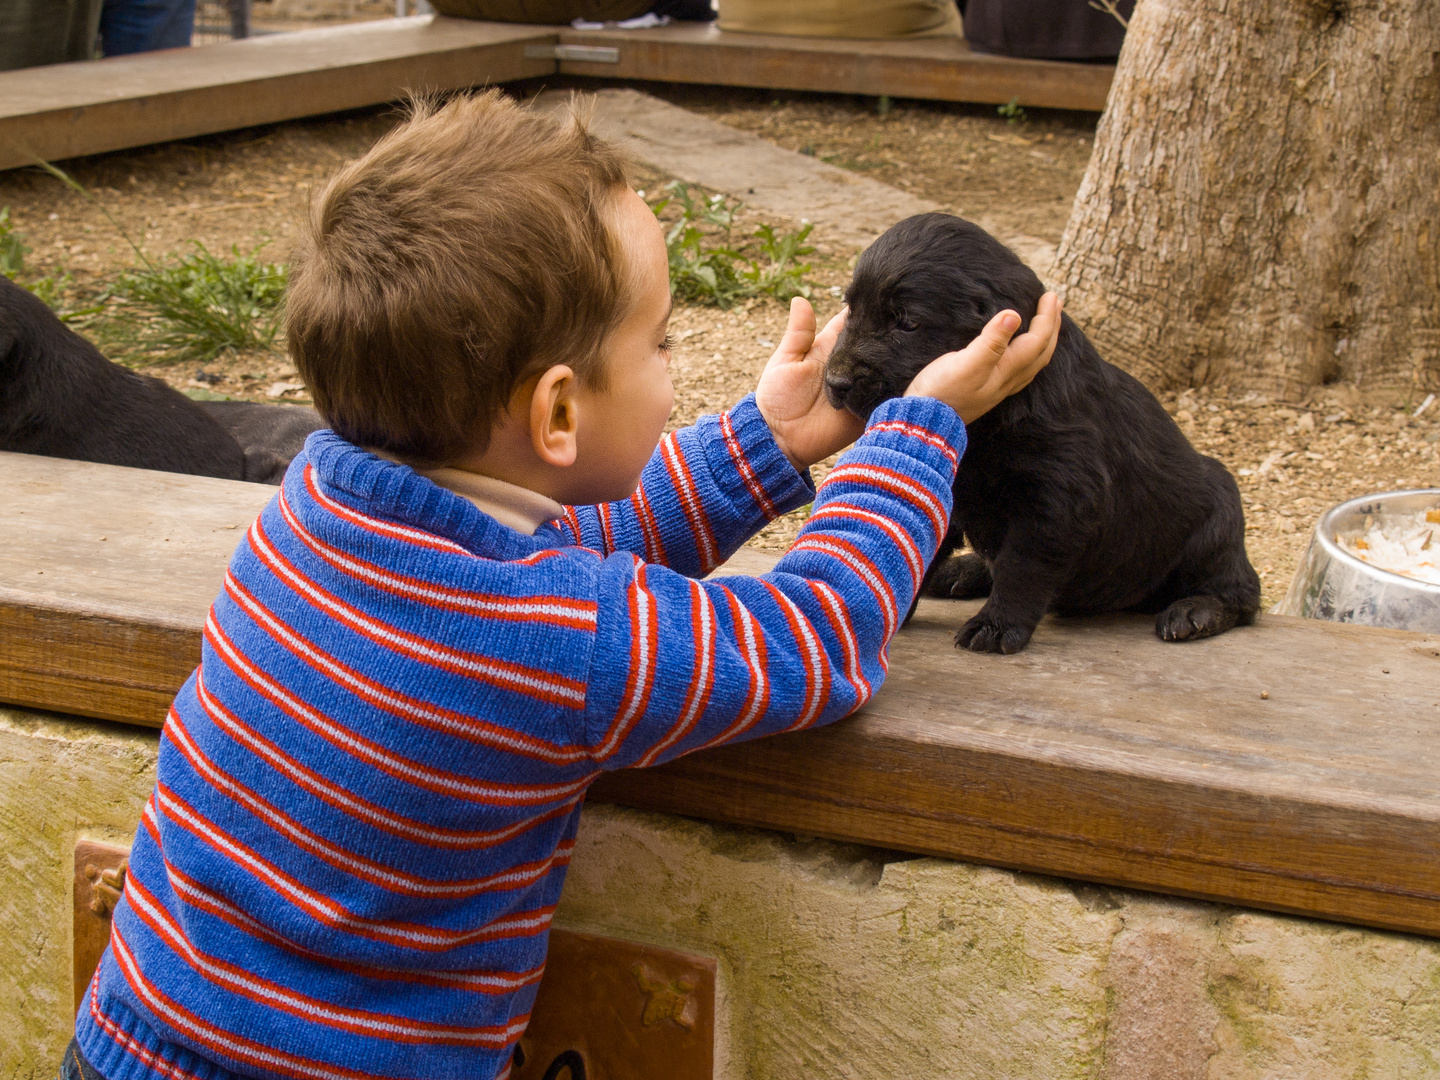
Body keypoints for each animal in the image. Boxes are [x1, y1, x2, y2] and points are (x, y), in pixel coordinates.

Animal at [823, 211, 1261, 650]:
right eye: (851, 310)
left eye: (908, 323)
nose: (835, 382)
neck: (991, 417)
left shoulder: (1057, 497)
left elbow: (1022, 567)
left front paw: (996, 625)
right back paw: (963, 571)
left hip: (1218, 518)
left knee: (1241, 594)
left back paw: (1194, 612)